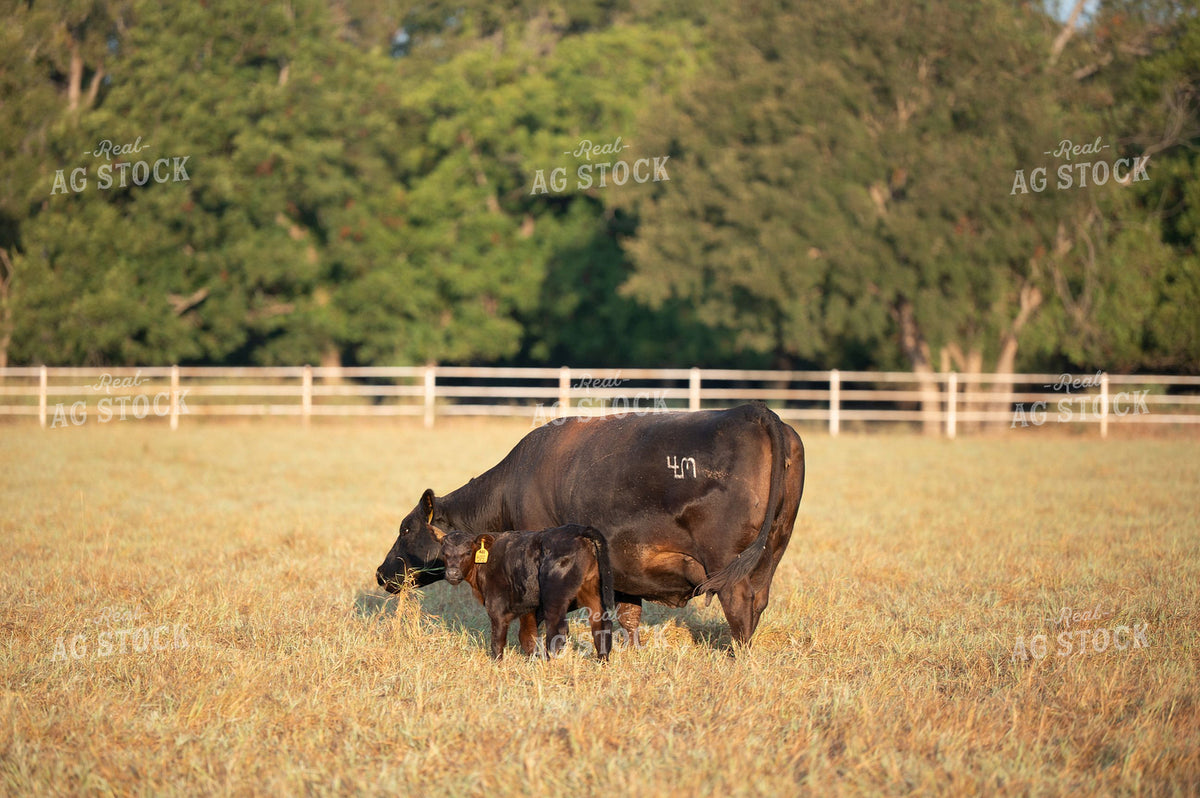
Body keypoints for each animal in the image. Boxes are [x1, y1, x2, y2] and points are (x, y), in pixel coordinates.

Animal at [437, 524, 616, 660]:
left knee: (557, 631)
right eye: (444, 553)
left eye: (468, 552)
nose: (452, 573)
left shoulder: (497, 608)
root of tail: (577, 529)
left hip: (554, 597)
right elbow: (527, 637)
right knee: (601, 625)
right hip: (591, 590)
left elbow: (497, 640)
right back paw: (602, 661)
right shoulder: (528, 609)